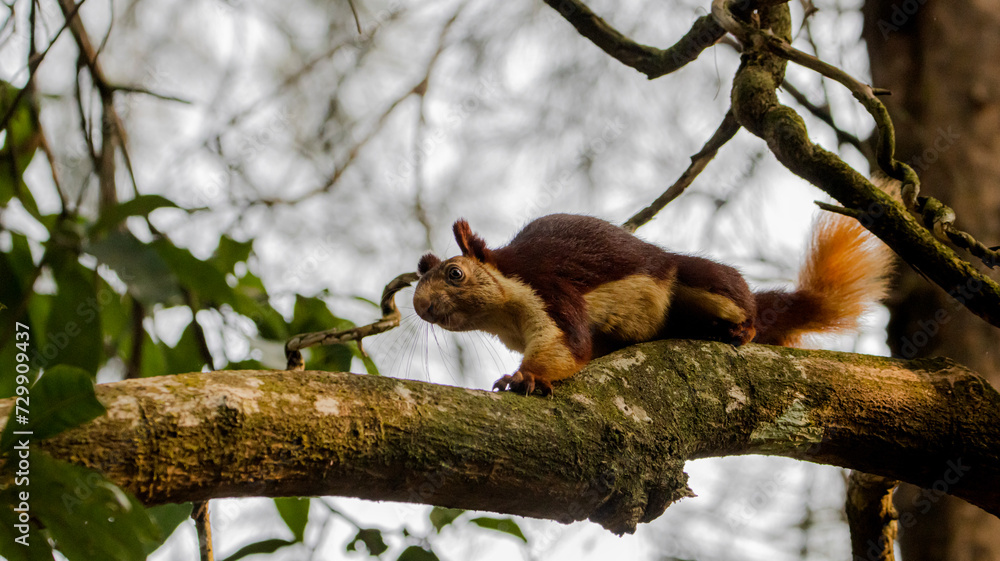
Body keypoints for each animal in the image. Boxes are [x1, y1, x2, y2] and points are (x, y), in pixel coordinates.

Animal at [412, 213, 893, 396]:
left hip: (698, 282)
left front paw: (525, 377)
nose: (420, 306)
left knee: (737, 299)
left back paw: (743, 327)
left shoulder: (549, 290)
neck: (502, 315)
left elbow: (566, 342)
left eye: (454, 274)